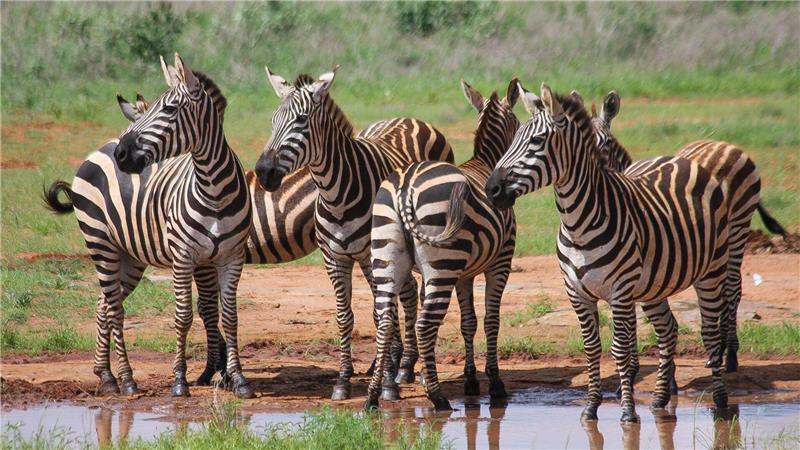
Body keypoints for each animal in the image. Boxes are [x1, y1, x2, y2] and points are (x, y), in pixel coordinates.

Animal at [43, 54, 254, 399]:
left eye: (169, 109)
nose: (122, 153)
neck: (213, 188)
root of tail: (101, 147)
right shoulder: (184, 257)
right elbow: (183, 316)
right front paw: (180, 380)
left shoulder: (231, 256)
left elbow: (230, 316)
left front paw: (238, 379)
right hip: (101, 243)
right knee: (115, 310)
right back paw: (126, 380)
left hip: (130, 257)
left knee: (104, 304)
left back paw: (106, 375)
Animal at [254, 66, 454, 400]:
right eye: (272, 119)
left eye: (301, 120)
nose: (264, 172)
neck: (336, 195)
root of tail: (411, 118)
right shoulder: (334, 258)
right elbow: (344, 317)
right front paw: (344, 380)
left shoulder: (372, 256)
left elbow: (380, 315)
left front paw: (385, 384)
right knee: (409, 292)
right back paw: (405, 366)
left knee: (416, 293)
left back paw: (411, 369)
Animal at [364, 79, 520, 411]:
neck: (484, 163)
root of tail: (404, 187)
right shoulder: (501, 261)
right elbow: (491, 320)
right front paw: (494, 383)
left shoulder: (465, 273)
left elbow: (468, 322)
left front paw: (471, 381)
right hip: (442, 266)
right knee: (424, 325)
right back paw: (437, 397)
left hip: (386, 256)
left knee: (385, 322)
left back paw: (372, 397)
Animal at [485, 81, 732, 422]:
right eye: (512, 140)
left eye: (536, 141)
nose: (491, 189)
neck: (578, 224)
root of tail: (680, 159)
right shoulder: (576, 292)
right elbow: (591, 348)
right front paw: (591, 407)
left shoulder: (620, 291)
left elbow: (620, 349)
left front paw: (627, 411)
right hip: (654, 283)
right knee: (668, 329)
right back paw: (660, 400)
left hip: (712, 269)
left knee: (710, 333)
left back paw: (720, 404)